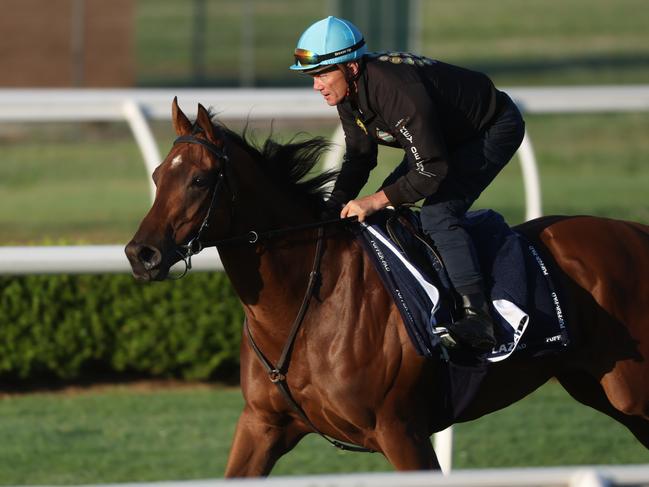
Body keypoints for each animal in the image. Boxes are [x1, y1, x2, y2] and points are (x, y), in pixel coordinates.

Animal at [123, 98, 648, 476]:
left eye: (198, 179)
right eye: (156, 175)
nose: (140, 253)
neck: (309, 303)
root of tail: (636, 232)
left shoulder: (402, 432)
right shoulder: (263, 424)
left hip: (632, 393)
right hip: (599, 389)